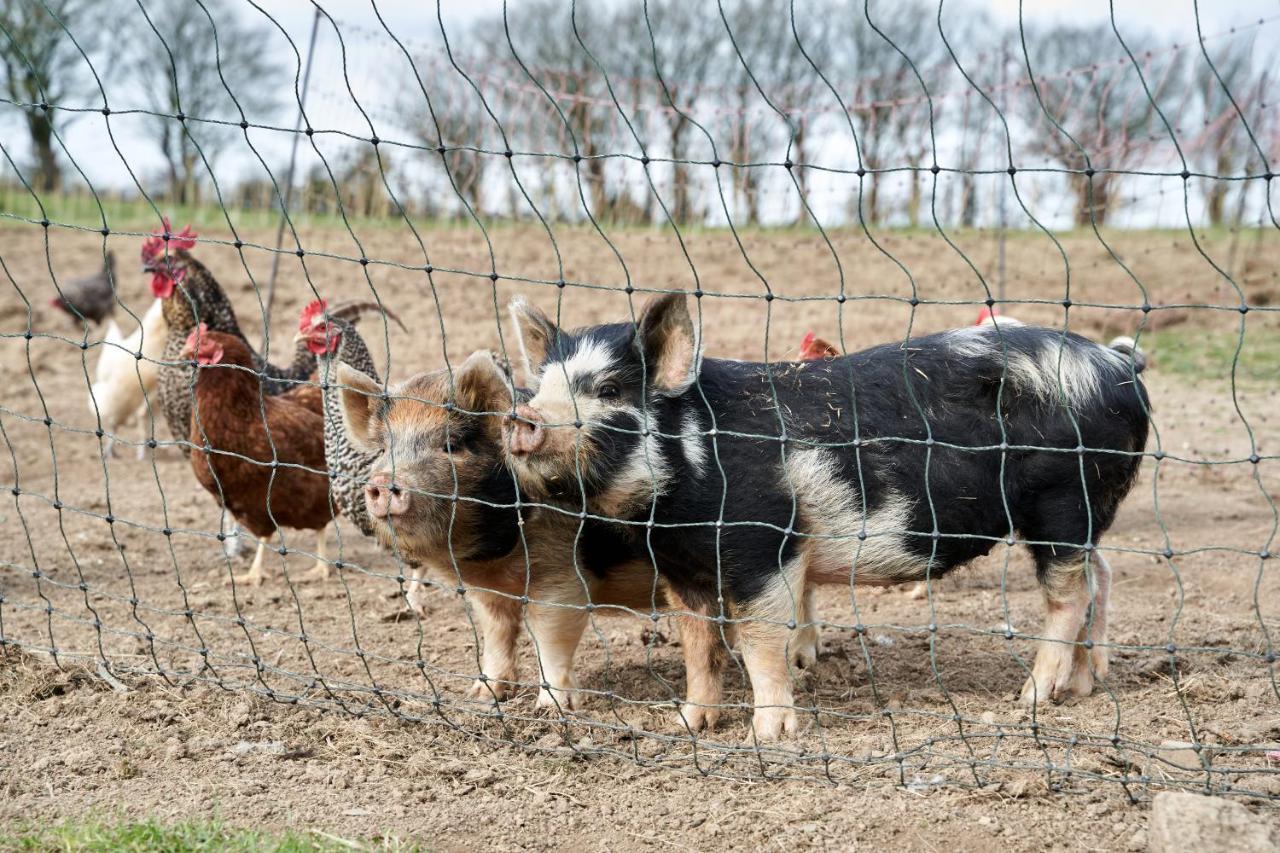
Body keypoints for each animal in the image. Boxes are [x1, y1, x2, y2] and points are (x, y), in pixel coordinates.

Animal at [335, 348, 665, 706]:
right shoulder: (487, 594)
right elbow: (496, 633)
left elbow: (550, 637)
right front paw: (484, 694)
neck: (491, 560)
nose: (383, 482)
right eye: (383, 449)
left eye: (452, 445)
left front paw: (551, 709)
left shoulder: (561, 571)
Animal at [501, 292, 1152, 737]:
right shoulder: (683, 567)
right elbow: (699, 645)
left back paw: (1033, 698)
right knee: (1101, 577)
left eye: (610, 391)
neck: (671, 506)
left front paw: (770, 735)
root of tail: (1118, 363)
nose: (521, 417)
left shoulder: (765, 544)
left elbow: (762, 639)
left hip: (1066, 502)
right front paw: (690, 723)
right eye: (541, 386)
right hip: (1086, 514)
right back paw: (1086, 685)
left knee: (1069, 595)